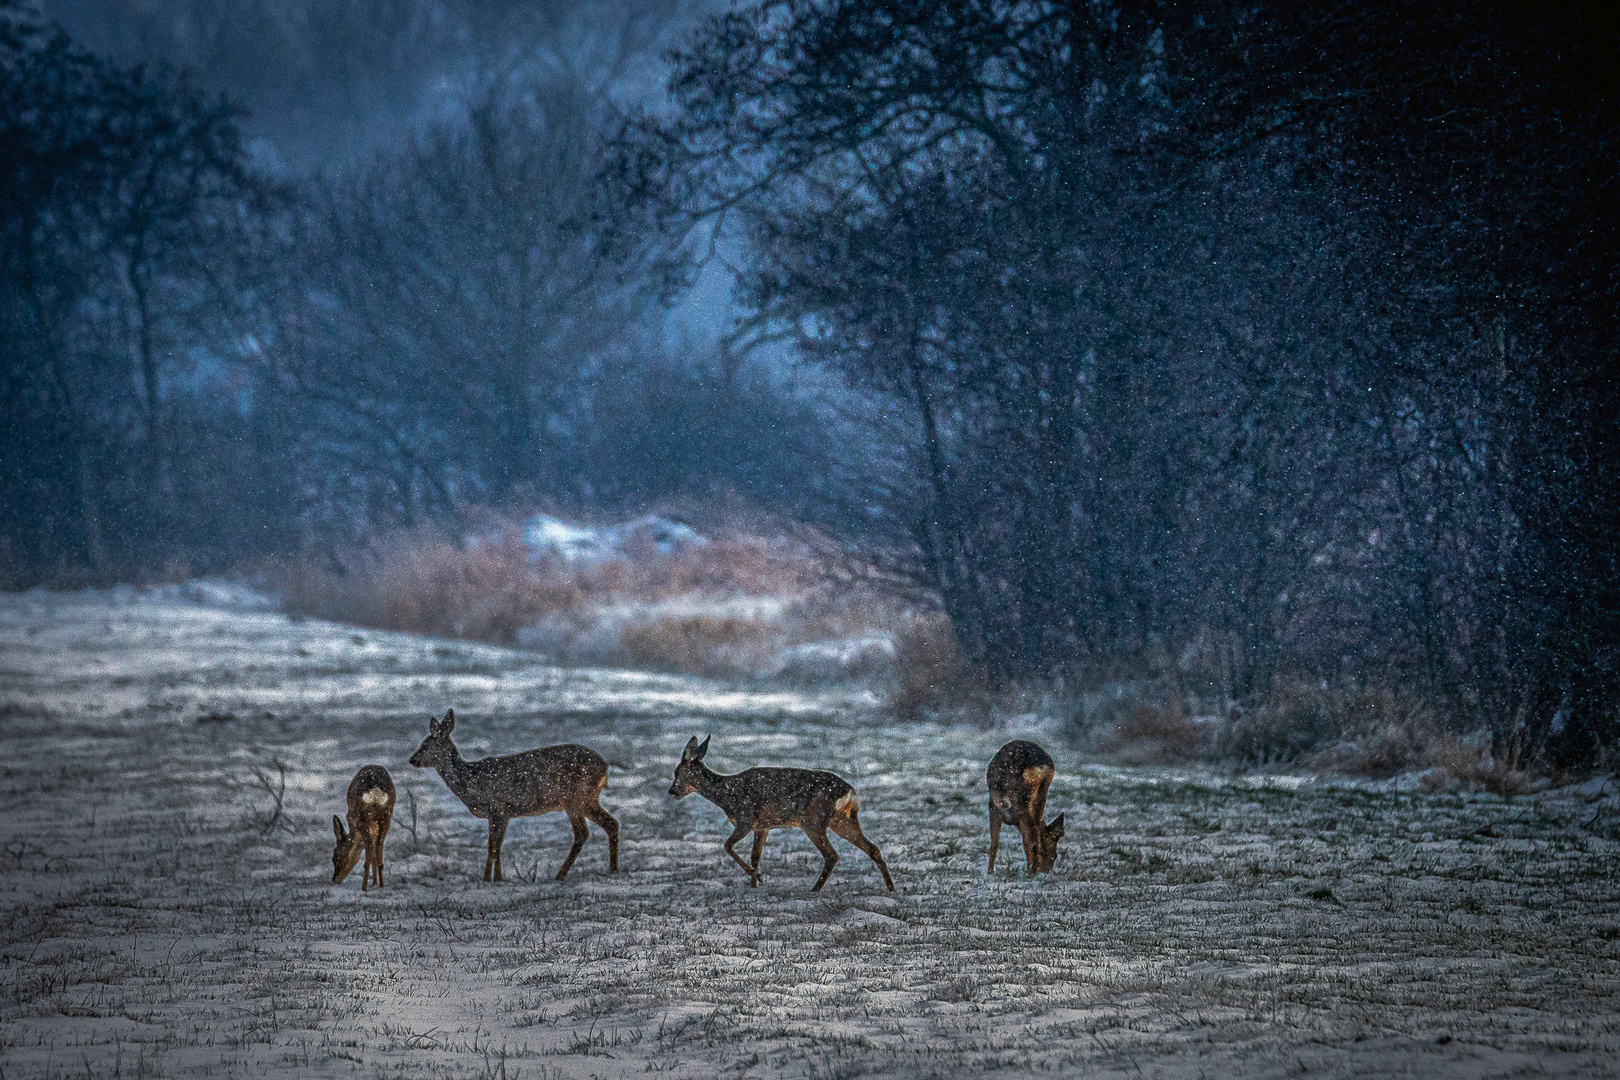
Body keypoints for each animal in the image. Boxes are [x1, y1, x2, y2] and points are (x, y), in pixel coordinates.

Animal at [328, 764, 392, 893]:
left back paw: (364, 888)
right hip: (386, 817)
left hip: (363, 818)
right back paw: (381, 885)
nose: (335, 879)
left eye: (335, 857)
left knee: (368, 855)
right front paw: (375, 882)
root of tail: (375, 793)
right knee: (378, 852)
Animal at [408, 709, 622, 880]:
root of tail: (604, 767)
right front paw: (497, 878)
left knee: (583, 832)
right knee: (611, 823)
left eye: (426, 745)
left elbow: (492, 846)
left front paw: (488, 879)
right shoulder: (502, 814)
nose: (412, 760)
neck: (471, 781)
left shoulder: (498, 808)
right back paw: (612, 869)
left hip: (575, 798)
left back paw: (560, 874)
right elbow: (497, 845)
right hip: (587, 799)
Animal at [670, 735, 900, 893]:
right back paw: (891, 888)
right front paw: (754, 884)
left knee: (832, 855)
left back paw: (814, 890)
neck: (726, 794)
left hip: (813, 820)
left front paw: (757, 877)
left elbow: (727, 846)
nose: (672, 791)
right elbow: (755, 856)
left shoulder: (745, 819)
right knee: (873, 848)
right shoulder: (762, 826)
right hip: (843, 819)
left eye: (677, 772)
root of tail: (850, 793)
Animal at [984, 738, 1062, 874]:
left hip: (1022, 801)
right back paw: (1032, 870)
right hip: (1041, 793)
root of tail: (1041, 766)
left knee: (1031, 837)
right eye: (1054, 856)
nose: (1046, 870)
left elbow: (994, 843)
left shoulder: (993, 808)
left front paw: (990, 873)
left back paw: (1030, 871)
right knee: (1035, 829)